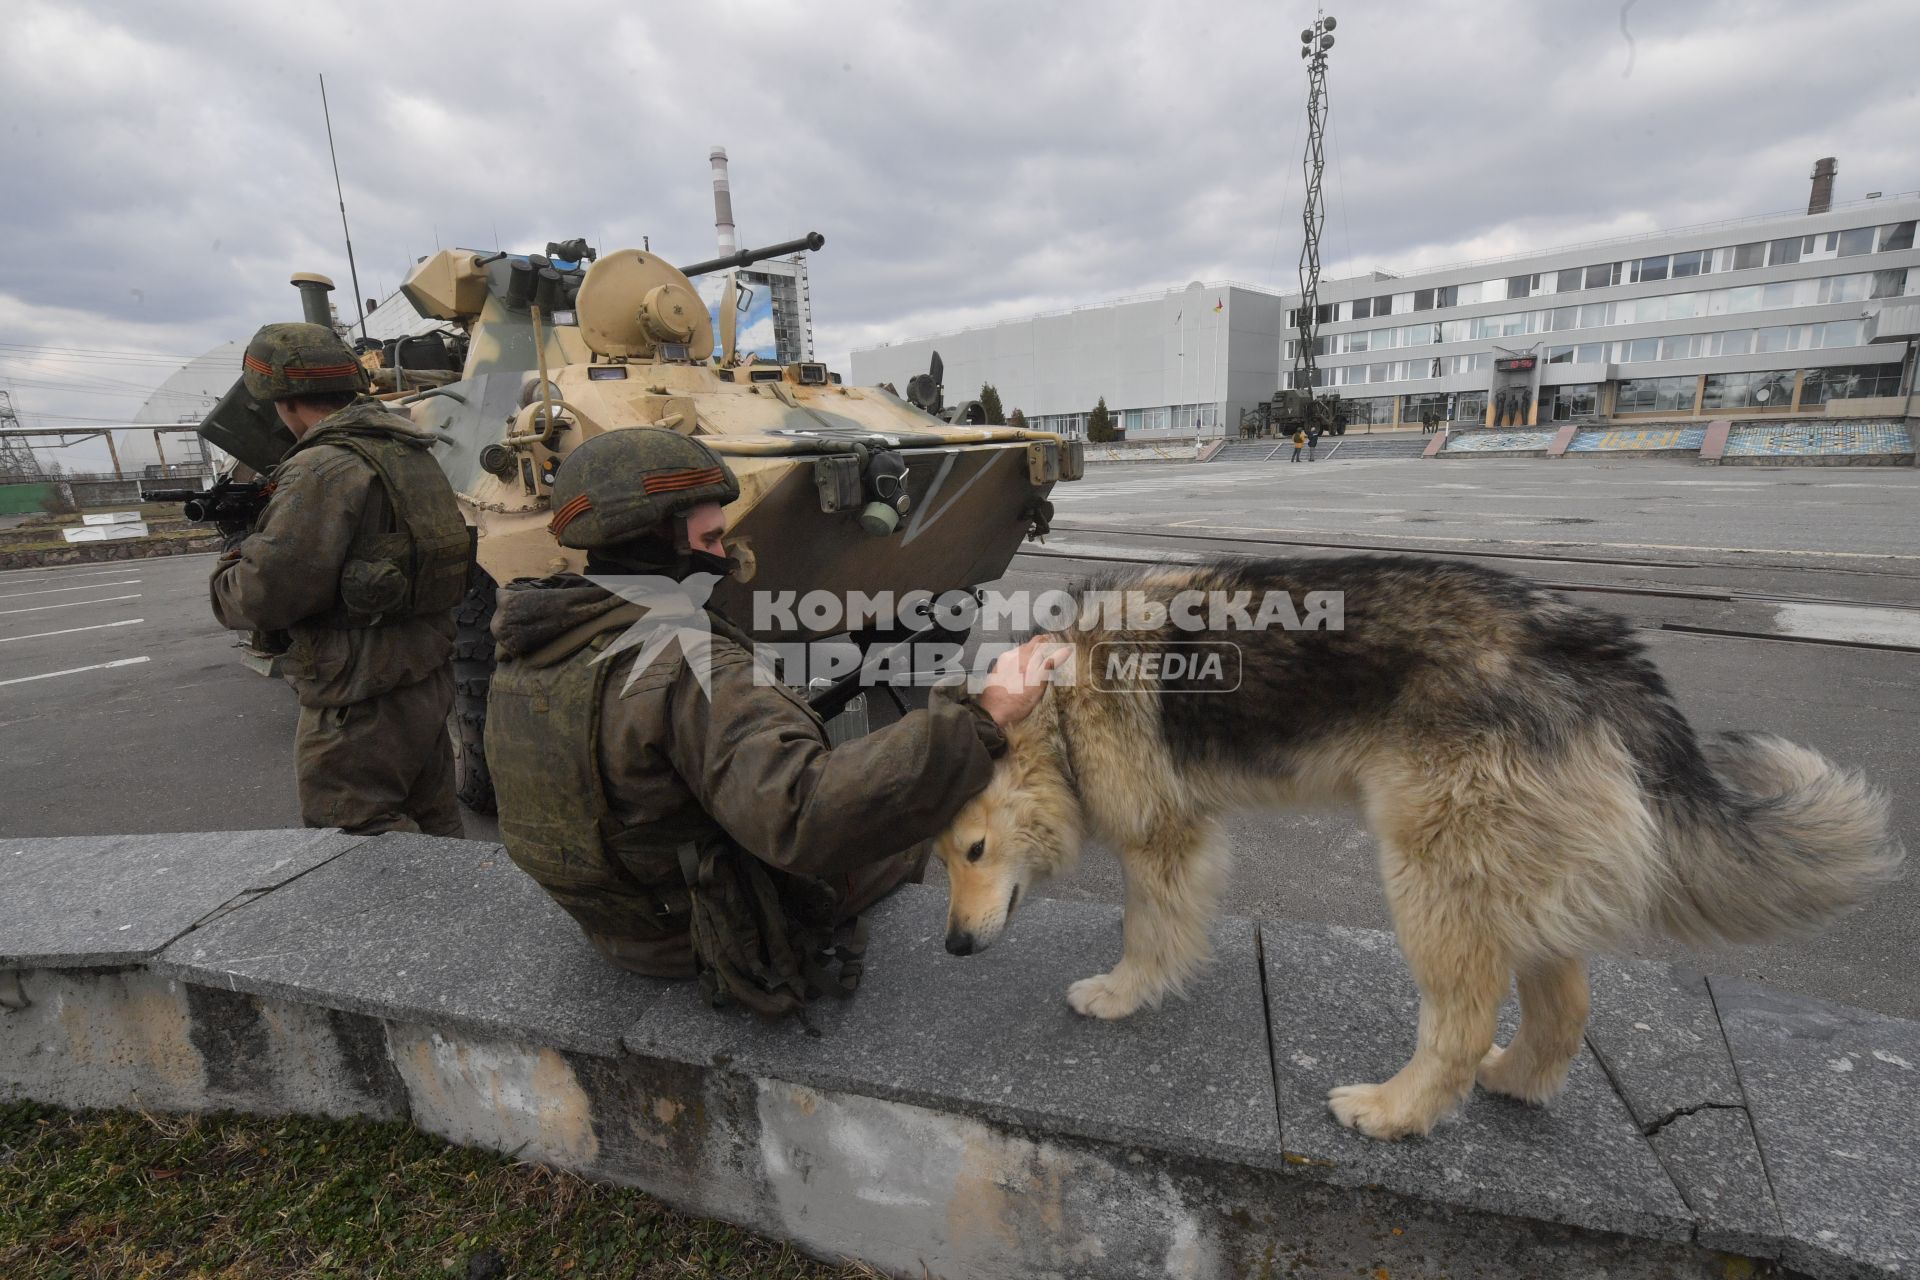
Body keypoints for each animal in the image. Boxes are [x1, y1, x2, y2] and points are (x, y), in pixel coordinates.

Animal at [933, 556, 1904, 1143]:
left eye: (974, 850)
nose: (952, 947)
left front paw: (1123, 994)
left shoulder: (1164, 840)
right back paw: (1517, 1080)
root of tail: (1587, 643)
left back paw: (1397, 1111)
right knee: (1564, 1004)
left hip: (1430, 875)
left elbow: (1147, 932)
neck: (1061, 701)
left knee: (1463, 1023)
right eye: (937, 857)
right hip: (1501, 869)